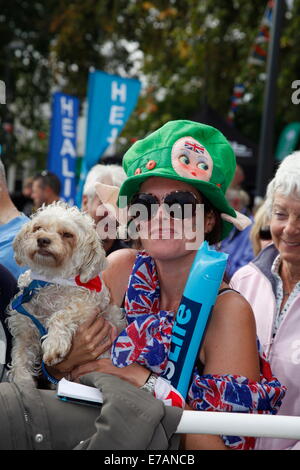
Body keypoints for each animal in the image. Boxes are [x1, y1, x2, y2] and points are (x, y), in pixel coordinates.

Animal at [6, 202, 126, 386]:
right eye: (38, 228)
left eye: (67, 234)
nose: (42, 240)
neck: (50, 280)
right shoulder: (24, 331)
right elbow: (20, 360)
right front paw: (23, 384)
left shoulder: (90, 308)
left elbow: (61, 314)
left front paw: (54, 344)